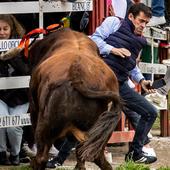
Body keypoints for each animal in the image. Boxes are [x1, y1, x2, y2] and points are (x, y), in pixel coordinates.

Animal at [27, 28, 121, 169]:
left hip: (44, 125)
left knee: (42, 156)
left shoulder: (34, 108)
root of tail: (76, 73)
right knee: (92, 154)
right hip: (100, 132)